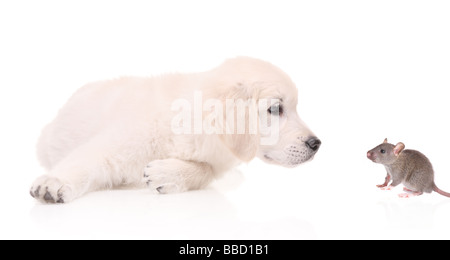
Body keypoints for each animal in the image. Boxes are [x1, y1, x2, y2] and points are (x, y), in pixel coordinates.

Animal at [29, 57, 320, 203]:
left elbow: (206, 170)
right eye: (276, 109)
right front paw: (54, 182)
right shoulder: (115, 145)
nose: (316, 144)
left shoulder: (214, 162)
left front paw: (167, 174)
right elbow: (85, 160)